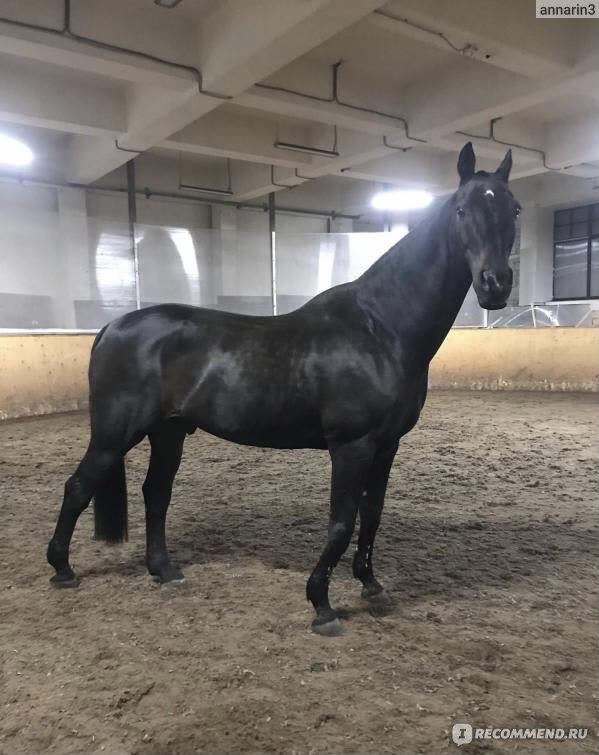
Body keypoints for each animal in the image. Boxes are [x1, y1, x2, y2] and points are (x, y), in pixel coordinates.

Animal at [47, 143, 519, 636]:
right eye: (462, 209)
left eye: (514, 209)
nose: (495, 285)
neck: (380, 327)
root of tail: (112, 327)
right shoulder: (351, 446)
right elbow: (341, 522)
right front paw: (322, 605)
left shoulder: (386, 445)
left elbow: (371, 516)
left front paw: (371, 586)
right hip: (114, 434)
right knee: (78, 487)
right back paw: (63, 570)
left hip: (169, 431)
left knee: (155, 494)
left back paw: (164, 570)